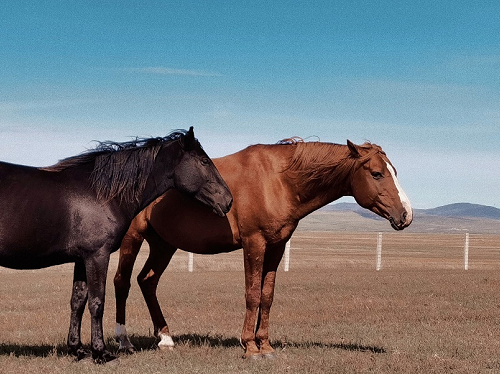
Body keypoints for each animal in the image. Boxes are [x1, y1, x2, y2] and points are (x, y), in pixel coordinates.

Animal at [114, 138, 414, 360]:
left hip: (164, 244)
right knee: (122, 282)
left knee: (147, 281)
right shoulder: (254, 242)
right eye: (376, 174)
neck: (279, 181)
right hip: (133, 238)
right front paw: (250, 347)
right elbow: (252, 294)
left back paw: (165, 337)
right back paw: (123, 341)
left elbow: (267, 296)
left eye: (394, 172)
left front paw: (266, 345)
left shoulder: (276, 246)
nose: (406, 215)